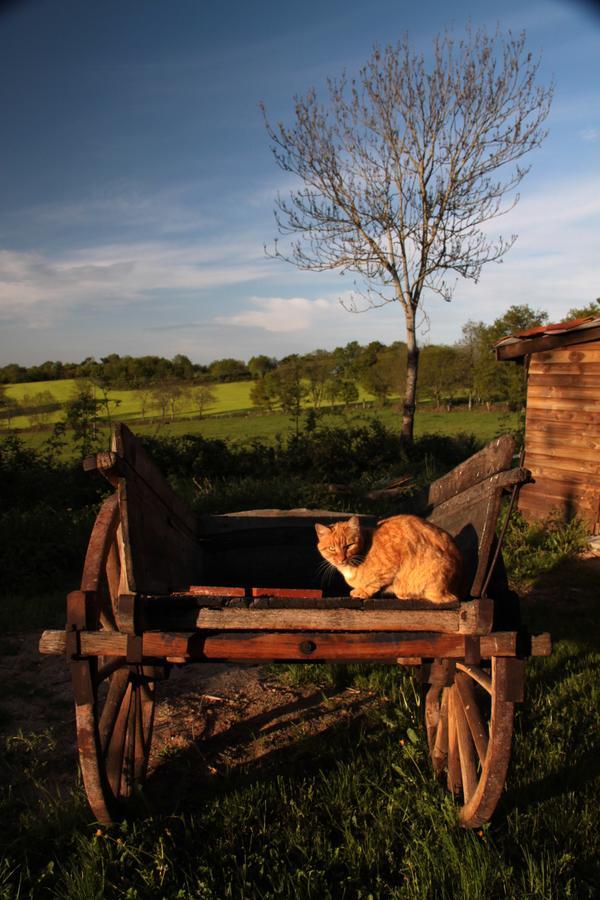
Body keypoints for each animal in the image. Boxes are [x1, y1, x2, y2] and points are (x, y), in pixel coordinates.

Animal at [318, 512, 464, 604]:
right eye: (332, 548)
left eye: (349, 546)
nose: (341, 559)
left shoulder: (391, 567)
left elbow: (376, 583)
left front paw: (362, 591)